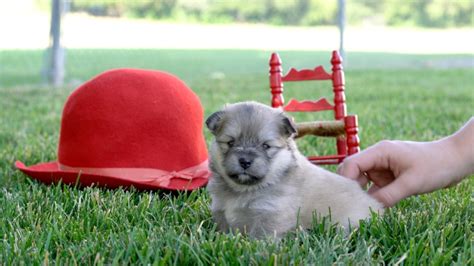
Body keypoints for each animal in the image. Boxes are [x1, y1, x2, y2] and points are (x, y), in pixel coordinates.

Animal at [206, 102, 384, 239]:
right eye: (230, 143)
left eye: (266, 146)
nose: (245, 161)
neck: (243, 190)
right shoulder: (221, 211)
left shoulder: (270, 213)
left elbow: (260, 237)